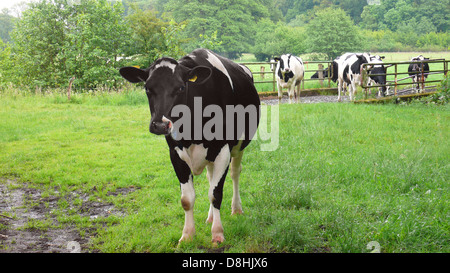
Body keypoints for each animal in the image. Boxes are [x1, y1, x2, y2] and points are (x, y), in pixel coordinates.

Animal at [119, 48, 260, 242]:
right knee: (210, 179)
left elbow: (215, 194)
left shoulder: (223, 151)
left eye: (180, 87)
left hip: (238, 147)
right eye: (147, 88)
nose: (160, 125)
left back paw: (236, 209)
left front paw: (217, 234)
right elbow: (187, 199)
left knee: (234, 173)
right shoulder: (175, 154)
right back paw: (210, 217)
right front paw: (187, 235)